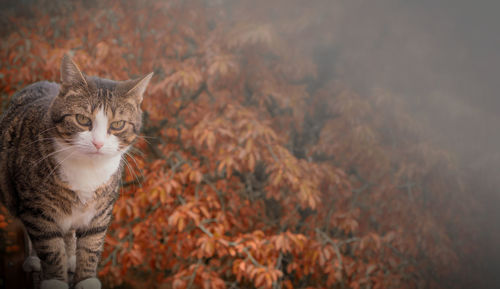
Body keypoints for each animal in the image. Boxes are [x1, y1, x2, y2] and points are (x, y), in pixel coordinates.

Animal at [0, 54, 152, 288]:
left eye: (118, 124)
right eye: (82, 119)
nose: (98, 143)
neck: (87, 169)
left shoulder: (101, 210)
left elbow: (91, 243)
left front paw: (86, 278)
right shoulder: (36, 209)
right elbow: (50, 247)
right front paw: (55, 280)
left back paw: (71, 256)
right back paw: (36, 260)